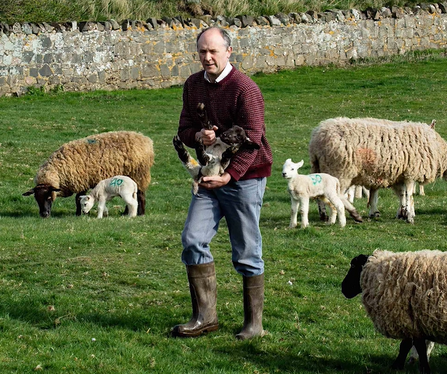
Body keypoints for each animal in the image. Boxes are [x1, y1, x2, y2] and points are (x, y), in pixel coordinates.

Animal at [23, 131, 156, 219]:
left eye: (49, 197)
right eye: (36, 198)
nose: (44, 215)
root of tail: (146, 140)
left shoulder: (81, 182)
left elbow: (77, 198)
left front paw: (78, 214)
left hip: (139, 175)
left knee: (141, 196)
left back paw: (141, 213)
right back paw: (126, 213)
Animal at [308, 117, 447, 222]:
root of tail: (317, 140)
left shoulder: (398, 175)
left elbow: (401, 194)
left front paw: (402, 213)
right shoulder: (410, 172)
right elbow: (409, 194)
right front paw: (408, 216)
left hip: (320, 168)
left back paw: (324, 215)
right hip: (340, 171)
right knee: (337, 194)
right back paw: (353, 214)